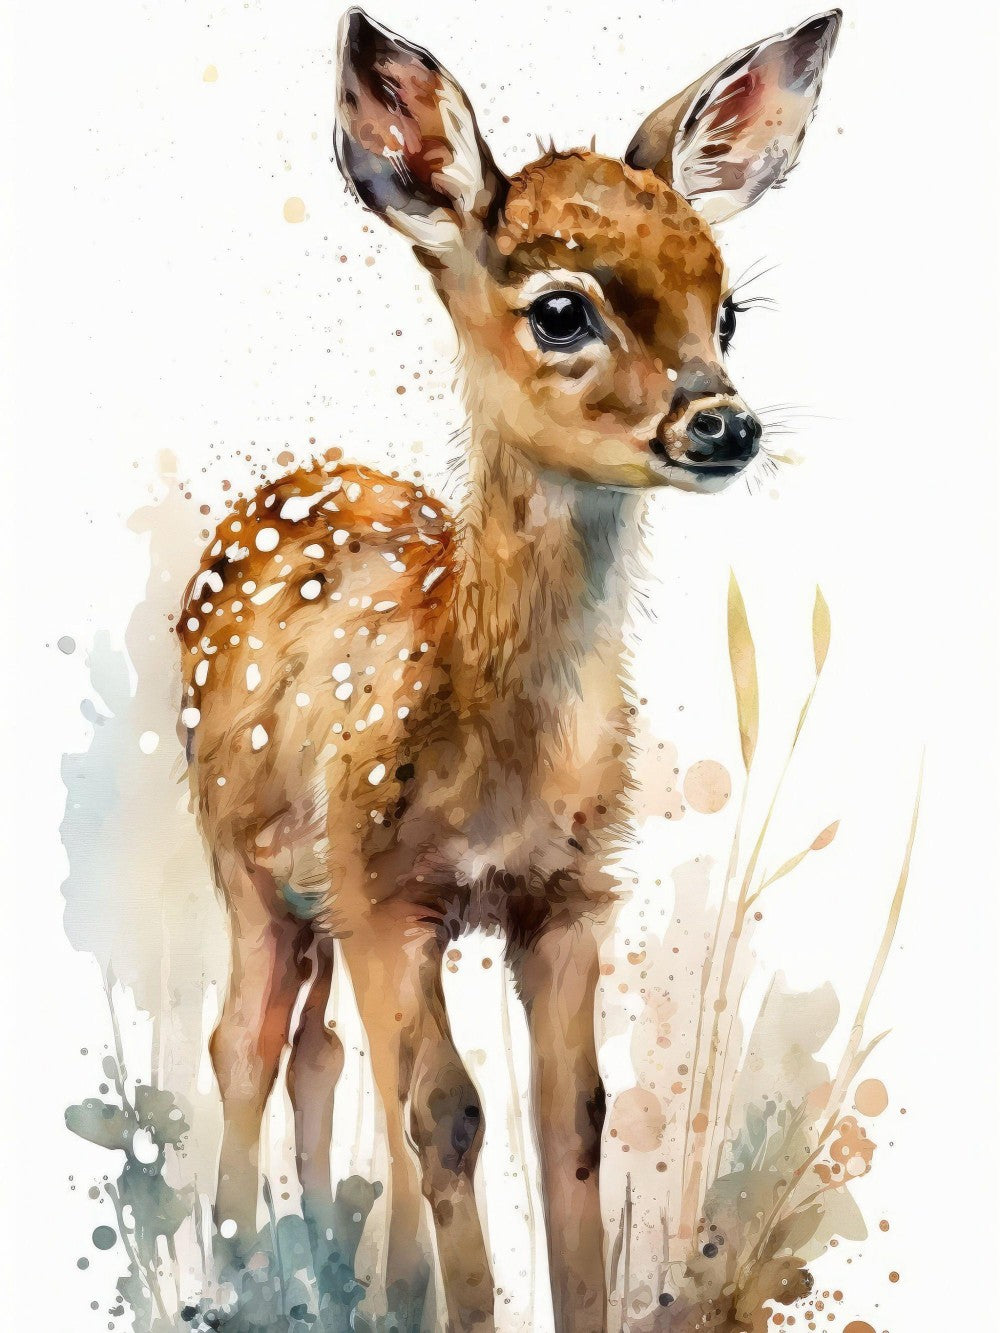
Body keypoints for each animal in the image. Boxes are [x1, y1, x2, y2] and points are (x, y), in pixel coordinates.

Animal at [179, 8, 840, 1330]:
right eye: (561, 310)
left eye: (727, 309)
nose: (723, 423)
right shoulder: (385, 882)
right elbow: (450, 1115)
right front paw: (459, 1302)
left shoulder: (569, 892)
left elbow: (567, 1117)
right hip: (247, 858)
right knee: (248, 1044)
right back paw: (238, 1263)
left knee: (327, 1056)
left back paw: (356, 1273)